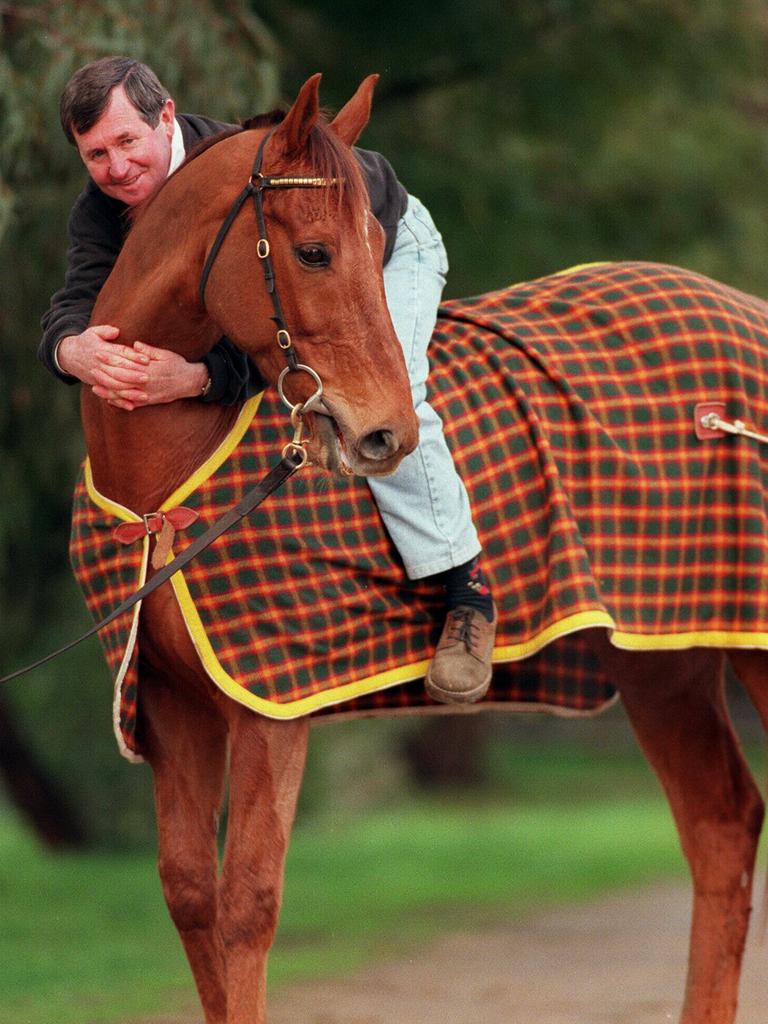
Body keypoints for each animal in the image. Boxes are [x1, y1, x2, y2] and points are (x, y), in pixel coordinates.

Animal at [75, 74, 768, 1024]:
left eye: (379, 242)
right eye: (315, 252)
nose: (386, 435)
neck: (167, 489)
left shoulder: (269, 708)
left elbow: (248, 902)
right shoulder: (176, 709)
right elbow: (190, 894)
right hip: (664, 656)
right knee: (719, 827)